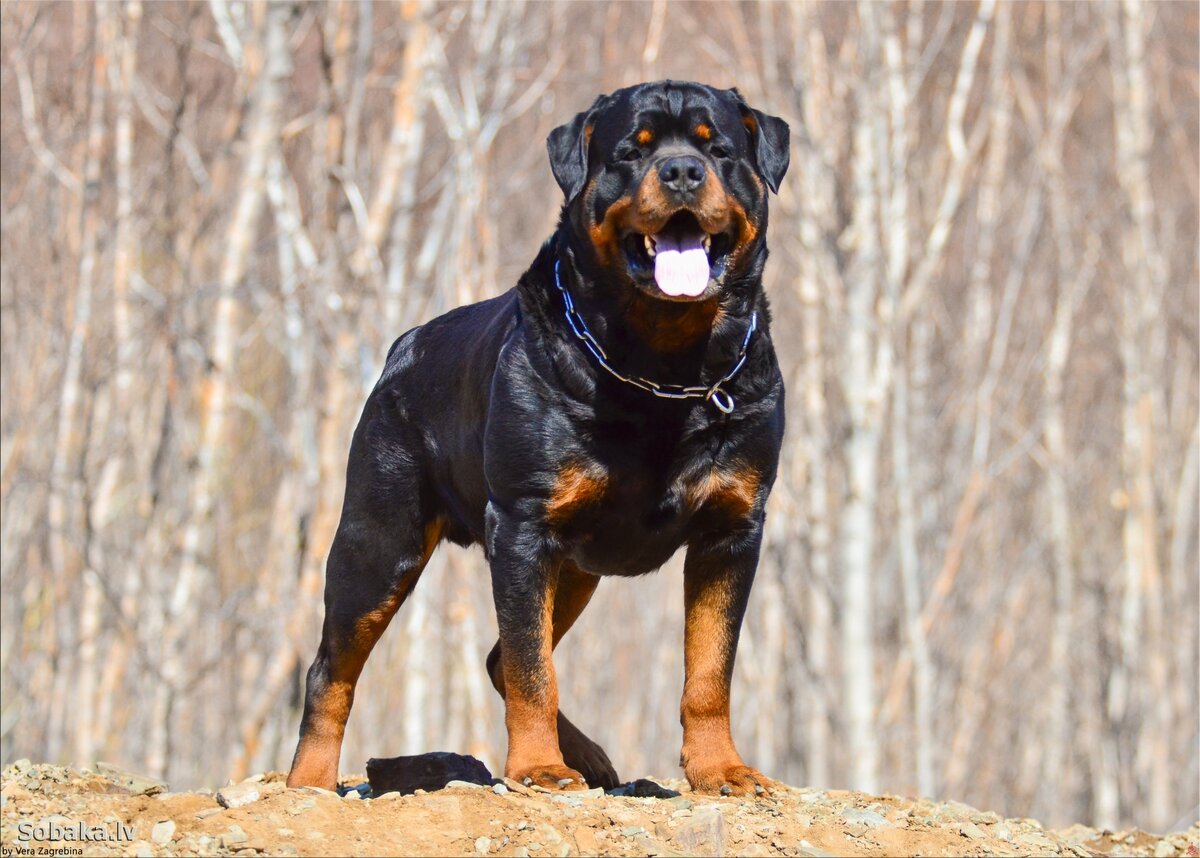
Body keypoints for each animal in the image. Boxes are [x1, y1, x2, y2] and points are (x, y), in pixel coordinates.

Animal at [286, 82, 792, 796]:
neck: (663, 368)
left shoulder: (733, 528)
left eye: (717, 148)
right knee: (333, 667)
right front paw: (536, 768)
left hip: (574, 568)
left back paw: (590, 755)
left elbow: (709, 671)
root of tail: (400, 348)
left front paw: (720, 768)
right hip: (379, 540)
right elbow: (533, 671)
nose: (681, 171)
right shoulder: (523, 525)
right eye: (630, 153)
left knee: (498, 656)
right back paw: (307, 780)